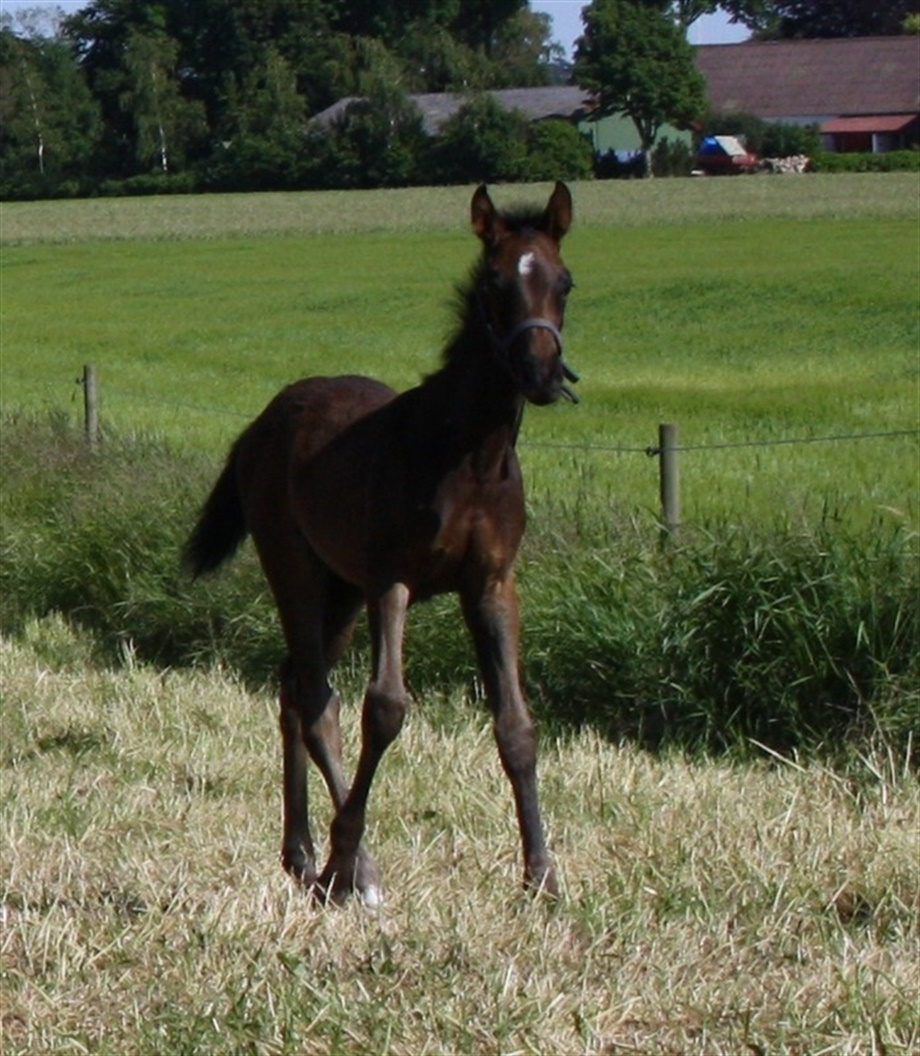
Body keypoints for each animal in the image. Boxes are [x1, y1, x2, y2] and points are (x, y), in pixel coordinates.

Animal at [184, 182, 578, 905]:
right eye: (495, 283)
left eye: (563, 281)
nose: (541, 372)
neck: (469, 456)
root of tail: (260, 424)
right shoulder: (392, 579)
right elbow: (386, 709)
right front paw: (350, 860)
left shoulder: (490, 584)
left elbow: (516, 724)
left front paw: (542, 875)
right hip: (298, 572)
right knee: (316, 698)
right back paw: (348, 865)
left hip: (339, 590)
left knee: (294, 686)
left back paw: (301, 853)